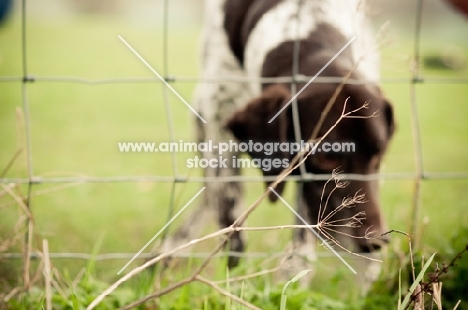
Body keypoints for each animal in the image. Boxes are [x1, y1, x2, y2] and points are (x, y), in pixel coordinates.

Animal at [163, 0, 394, 280]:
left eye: (379, 152)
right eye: (325, 157)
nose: (375, 241)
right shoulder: (220, 129)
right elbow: (231, 221)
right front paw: (234, 281)